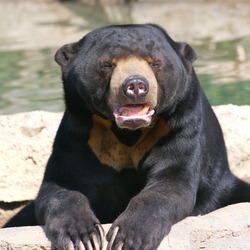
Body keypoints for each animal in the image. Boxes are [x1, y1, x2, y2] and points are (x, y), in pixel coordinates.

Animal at [3, 23, 250, 250]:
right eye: (107, 65)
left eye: (155, 63)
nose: (136, 85)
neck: (128, 132)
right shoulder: (80, 135)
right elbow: (62, 186)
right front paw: (83, 237)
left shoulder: (179, 128)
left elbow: (170, 182)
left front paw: (127, 238)